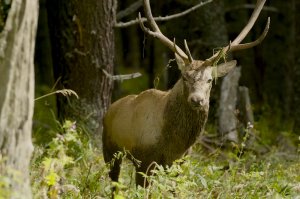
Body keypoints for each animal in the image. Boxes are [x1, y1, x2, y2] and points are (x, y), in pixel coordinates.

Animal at [103, 0, 270, 187]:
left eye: (210, 80)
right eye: (184, 76)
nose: (197, 100)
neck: (175, 144)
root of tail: (109, 109)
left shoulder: (180, 162)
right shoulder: (144, 161)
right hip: (109, 151)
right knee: (114, 182)